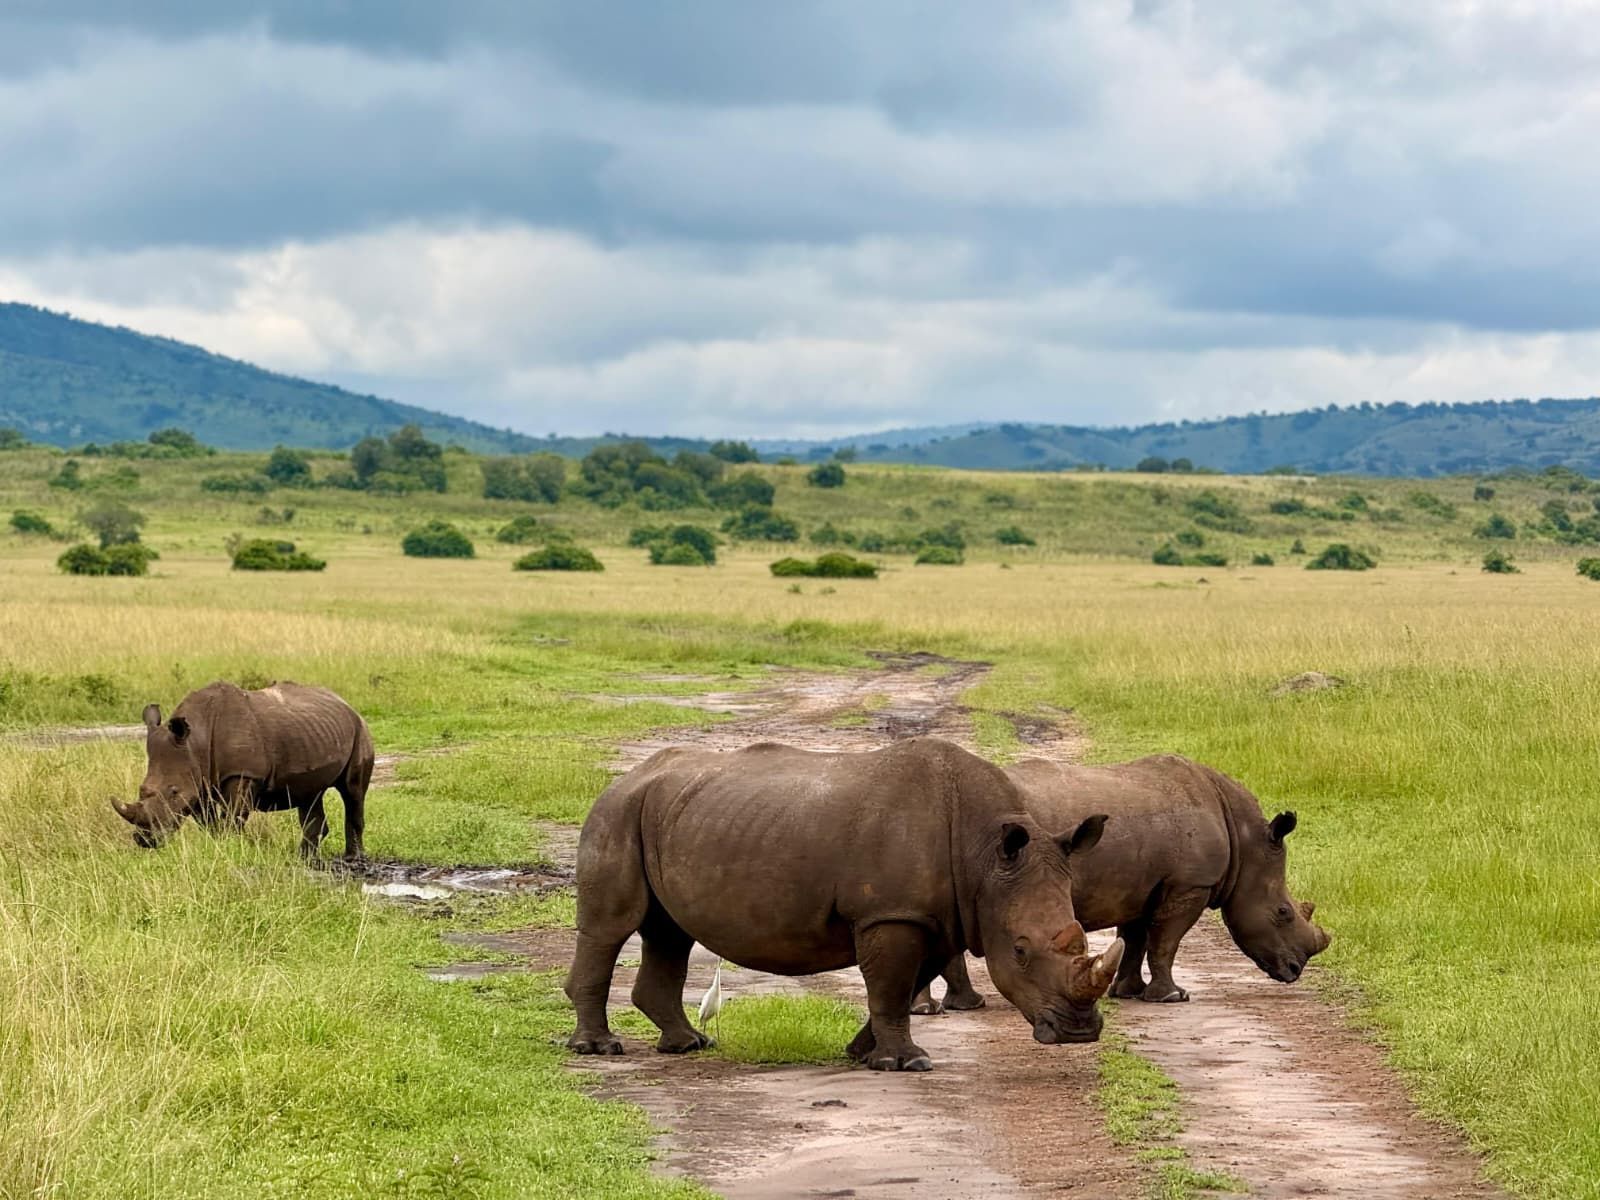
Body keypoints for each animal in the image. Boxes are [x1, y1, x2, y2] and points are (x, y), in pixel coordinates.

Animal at [110, 680, 373, 860]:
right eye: (141, 789)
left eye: (173, 792)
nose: (145, 839)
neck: (196, 741)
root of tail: (347, 704)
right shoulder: (199, 781)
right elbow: (209, 823)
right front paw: (218, 848)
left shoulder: (243, 775)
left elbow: (232, 818)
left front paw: (230, 848)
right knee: (309, 794)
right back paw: (304, 859)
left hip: (360, 729)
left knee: (352, 792)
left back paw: (353, 858)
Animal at [565, 737, 1124, 1071]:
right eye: (1022, 951)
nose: (1078, 1033)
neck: (985, 857)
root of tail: (626, 775)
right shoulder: (892, 913)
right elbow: (892, 987)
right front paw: (906, 1063)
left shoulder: (940, 915)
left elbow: (906, 984)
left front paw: (861, 1053)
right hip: (617, 811)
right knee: (611, 928)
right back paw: (599, 1049)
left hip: (669, 813)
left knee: (669, 932)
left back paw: (687, 1045)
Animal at [915, 755, 1330, 1013]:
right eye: (1283, 912)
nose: (1294, 971)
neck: (1244, 840)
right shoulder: (1189, 884)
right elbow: (1165, 942)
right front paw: (1173, 997)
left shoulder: (1142, 885)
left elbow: (1136, 938)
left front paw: (1129, 992)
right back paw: (943, 1008)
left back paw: (947, 1007)